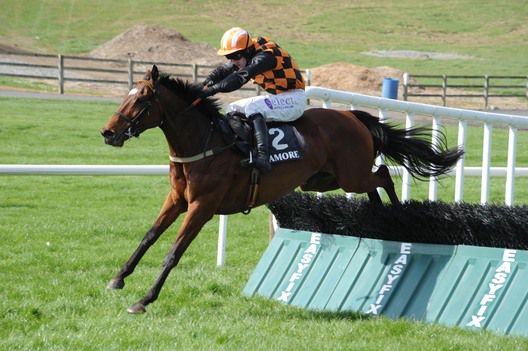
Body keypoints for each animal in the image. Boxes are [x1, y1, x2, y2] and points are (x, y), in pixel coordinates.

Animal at [101, 65, 464, 314]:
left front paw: (144, 299)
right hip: (322, 178)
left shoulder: (203, 206)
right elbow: (149, 237)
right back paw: (379, 220)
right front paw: (118, 278)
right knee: (375, 183)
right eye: (127, 95)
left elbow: (174, 252)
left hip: (350, 176)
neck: (206, 142)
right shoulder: (177, 199)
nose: (108, 133)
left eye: (142, 100)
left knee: (384, 175)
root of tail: (353, 117)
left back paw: (399, 216)